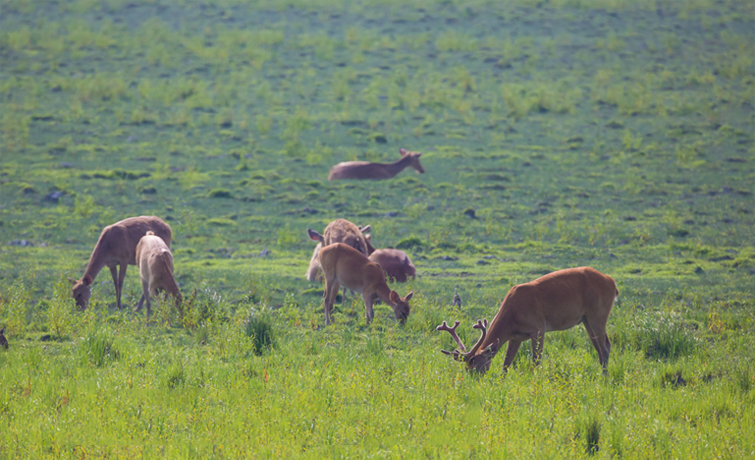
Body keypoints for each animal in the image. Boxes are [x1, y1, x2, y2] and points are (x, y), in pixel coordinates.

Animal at [438, 268, 620, 376]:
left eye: (477, 366)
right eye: (466, 368)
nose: (474, 382)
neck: (512, 316)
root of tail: (612, 282)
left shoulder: (538, 328)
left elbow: (536, 361)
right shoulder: (515, 336)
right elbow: (506, 364)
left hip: (598, 315)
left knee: (605, 347)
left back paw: (604, 378)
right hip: (586, 320)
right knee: (600, 348)